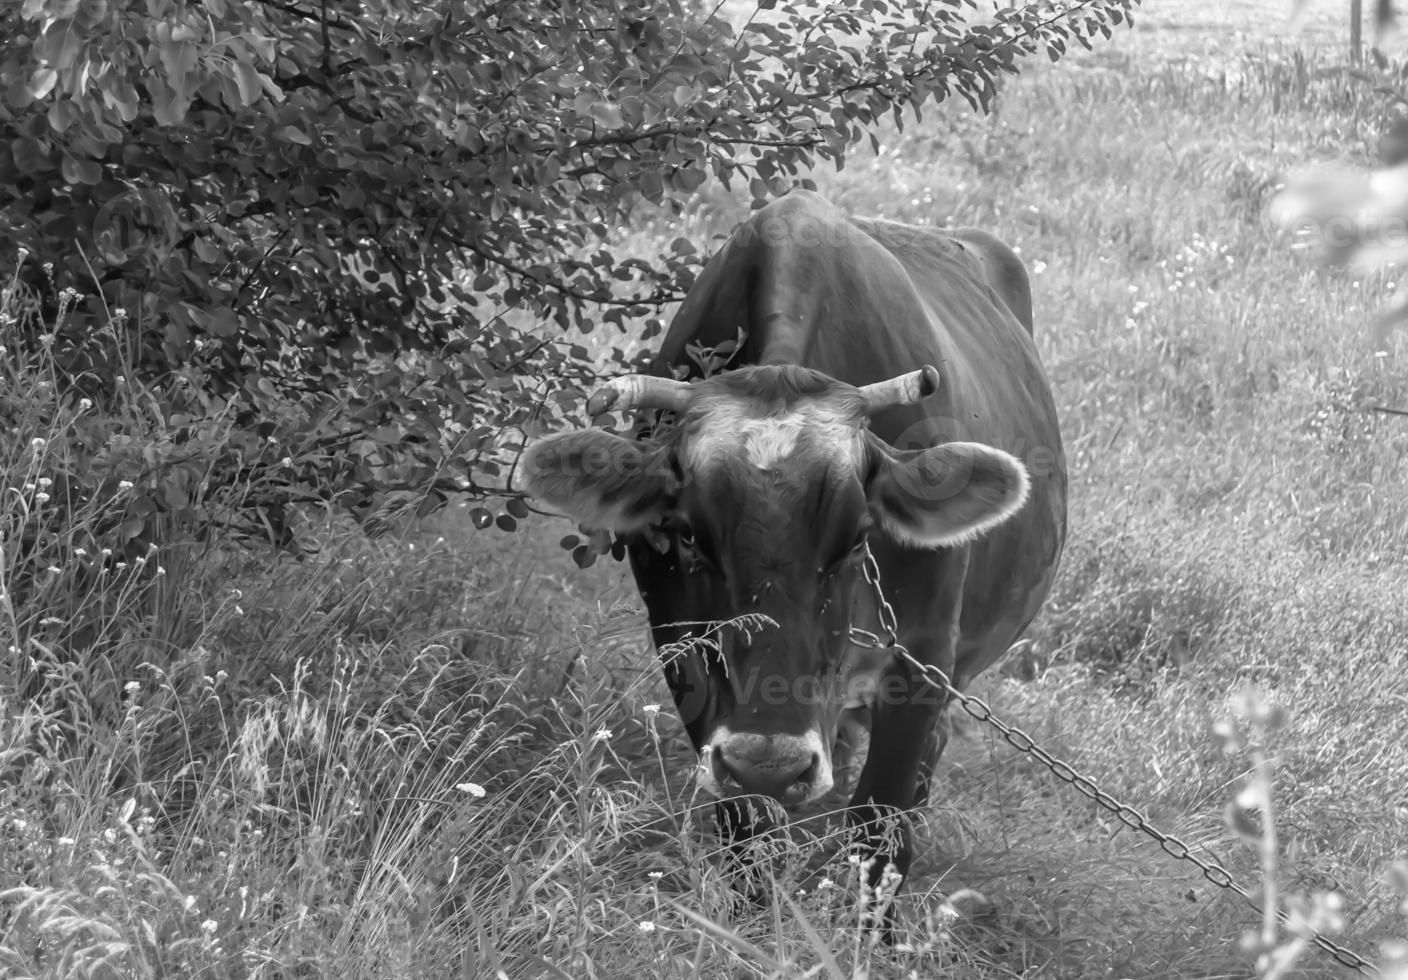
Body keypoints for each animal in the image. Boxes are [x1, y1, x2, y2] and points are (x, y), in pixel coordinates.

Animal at [520, 187, 1064, 929]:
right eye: (686, 536)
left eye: (860, 537)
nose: (774, 759)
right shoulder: (687, 658)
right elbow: (746, 829)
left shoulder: (923, 658)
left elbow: (880, 833)